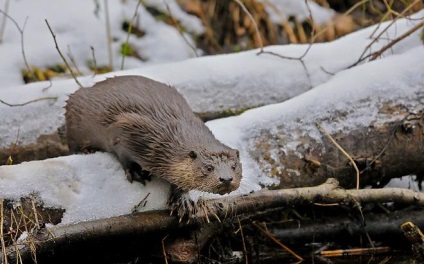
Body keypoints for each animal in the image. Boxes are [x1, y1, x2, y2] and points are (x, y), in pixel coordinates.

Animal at [64, 74, 240, 196]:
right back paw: (86, 150)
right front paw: (136, 172)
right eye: (208, 168)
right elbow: (122, 153)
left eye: (234, 166)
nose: (226, 179)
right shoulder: (126, 127)